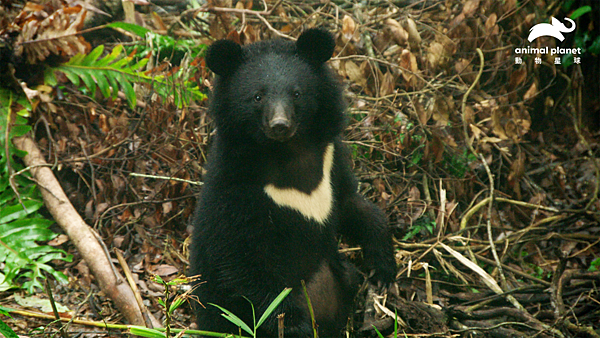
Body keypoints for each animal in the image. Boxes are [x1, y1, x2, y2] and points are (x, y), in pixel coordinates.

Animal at [190, 29, 396, 338]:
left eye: (297, 93)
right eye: (257, 96)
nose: (279, 125)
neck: (287, 151)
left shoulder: (331, 162)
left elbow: (355, 206)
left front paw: (383, 270)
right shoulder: (237, 190)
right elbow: (241, 262)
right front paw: (294, 324)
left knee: (349, 276)